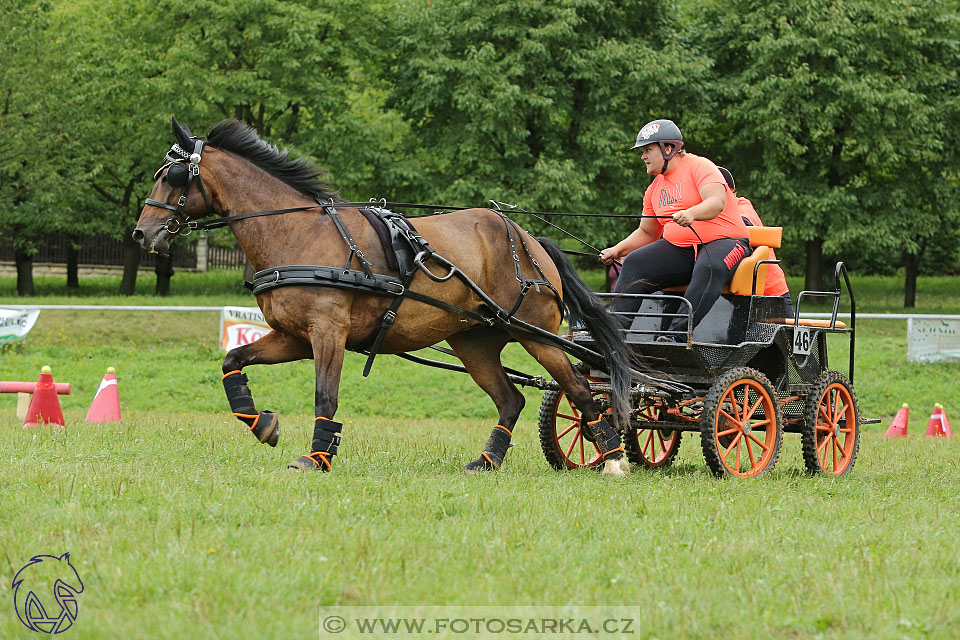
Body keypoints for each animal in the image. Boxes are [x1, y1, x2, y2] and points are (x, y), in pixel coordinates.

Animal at [131, 119, 632, 476]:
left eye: (174, 176)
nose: (142, 233)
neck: (298, 233)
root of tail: (528, 239)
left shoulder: (327, 332)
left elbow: (325, 396)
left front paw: (317, 456)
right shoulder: (294, 336)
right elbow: (232, 360)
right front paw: (263, 424)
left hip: (537, 335)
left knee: (580, 389)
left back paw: (613, 458)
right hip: (474, 341)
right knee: (511, 399)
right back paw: (488, 461)